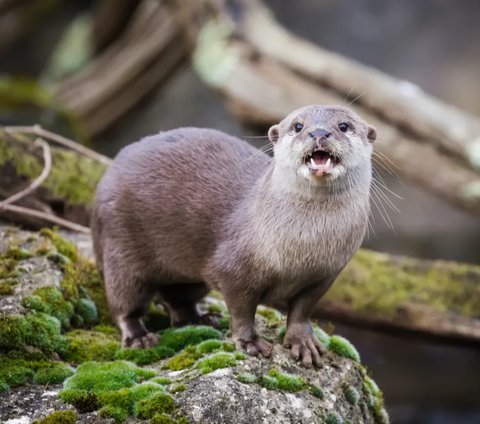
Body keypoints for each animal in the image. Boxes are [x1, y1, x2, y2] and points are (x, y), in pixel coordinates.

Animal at [90, 104, 376, 366]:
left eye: (343, 126)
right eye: (298, 125)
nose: (319, 132)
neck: (303, 249)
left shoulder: (325, 276)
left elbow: (302, 311)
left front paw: (302, 341)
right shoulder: (234, 268)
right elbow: (242, 310)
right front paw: (250, 343)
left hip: (188, 275)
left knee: (178, 298)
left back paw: (201, 319)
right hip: (121, 247)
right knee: (125, 301)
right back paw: (139, 337)